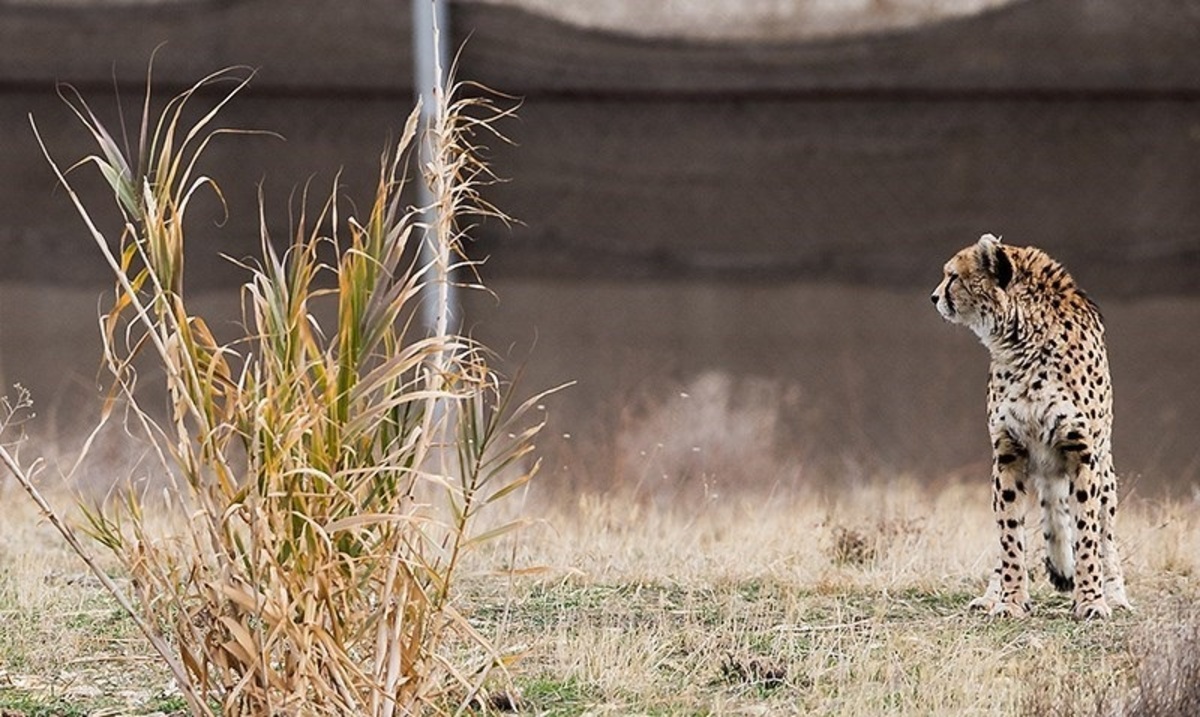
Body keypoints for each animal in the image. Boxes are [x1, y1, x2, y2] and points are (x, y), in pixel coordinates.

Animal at [931, 235, 1128, 618]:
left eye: (953, 276)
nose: (934, 297)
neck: (1022, 340)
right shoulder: (1008, 454)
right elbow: (1010, 536)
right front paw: (1010, 600)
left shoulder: (1082, 454)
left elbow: (1087, 533)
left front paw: (1091, 600)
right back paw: (991, 594)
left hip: (1105, 472)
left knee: (1106, 536)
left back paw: (1115, 595)